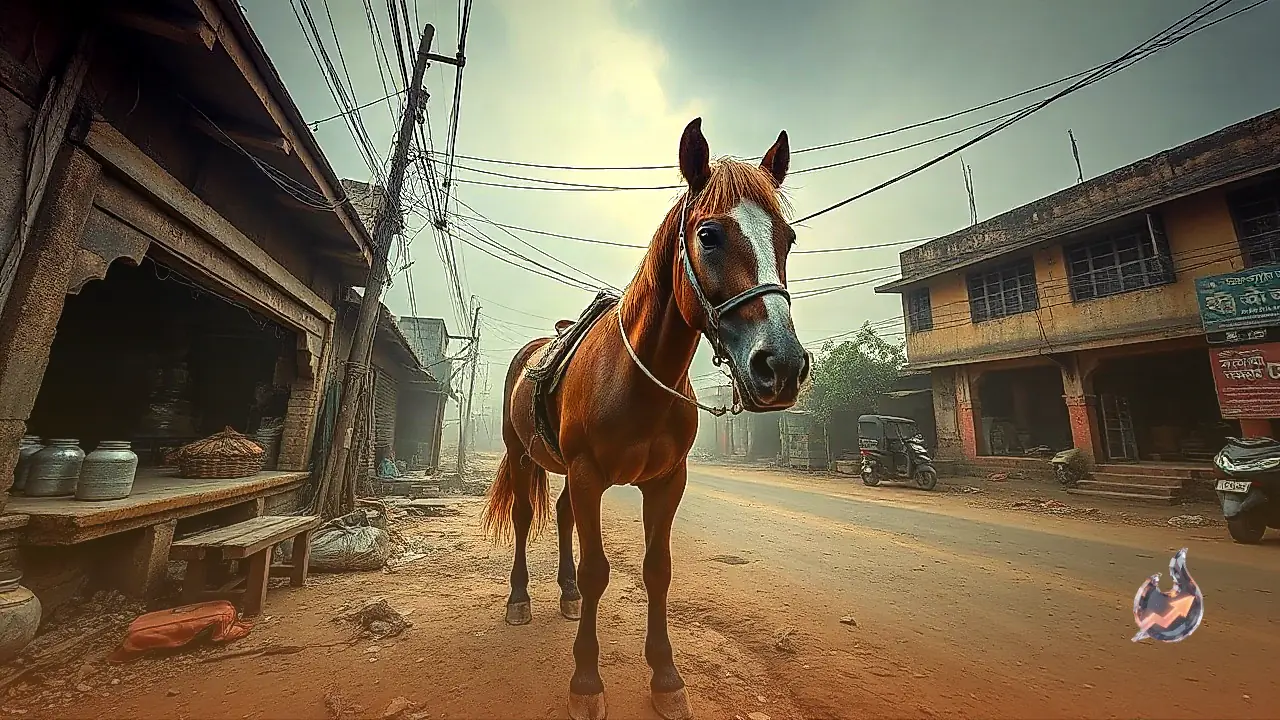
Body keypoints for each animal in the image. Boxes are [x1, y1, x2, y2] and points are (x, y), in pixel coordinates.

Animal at [482, 117, 810, 720]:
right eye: (709, 235)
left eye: (787, 239)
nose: (781, 366)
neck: (639, 380)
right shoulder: (589, 474)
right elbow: (598, 571)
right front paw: (586, 681)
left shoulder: (665, 481)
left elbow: (657, 570)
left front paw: (665, 676)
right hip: (521, 456)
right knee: (524, 518)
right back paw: (520, 599)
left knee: (561, 516)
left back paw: (564, 594)